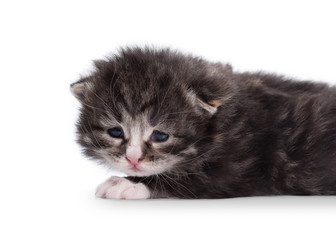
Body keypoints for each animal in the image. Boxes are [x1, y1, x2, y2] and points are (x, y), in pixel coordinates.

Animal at [71, 46, 336, 199]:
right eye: (115, 132)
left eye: (160, 136)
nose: (133, 160)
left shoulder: (240, 168)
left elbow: (190, 180)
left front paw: (128, 184)